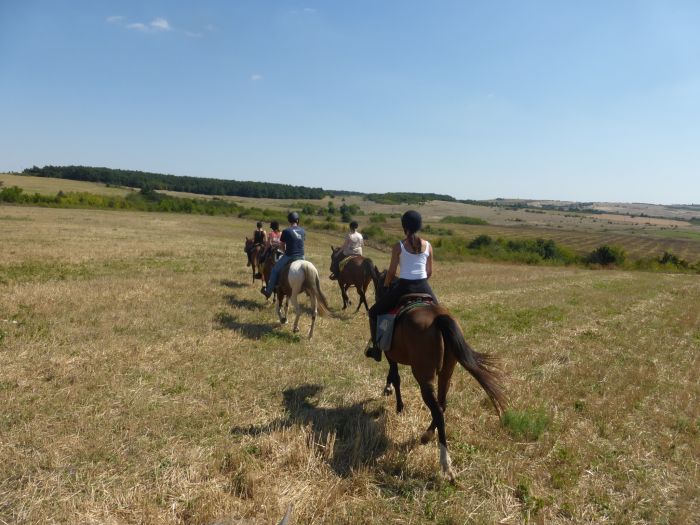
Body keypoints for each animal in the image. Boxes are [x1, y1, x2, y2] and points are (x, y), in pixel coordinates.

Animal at [370, 272, 506, 482]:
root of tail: (439, 318)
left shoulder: (390, 355)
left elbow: (395, 377)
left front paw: (397, 404)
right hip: (446, 374)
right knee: (442, 405)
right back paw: (427, 435)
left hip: (424, 377)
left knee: (438, 410)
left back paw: (445, 463)